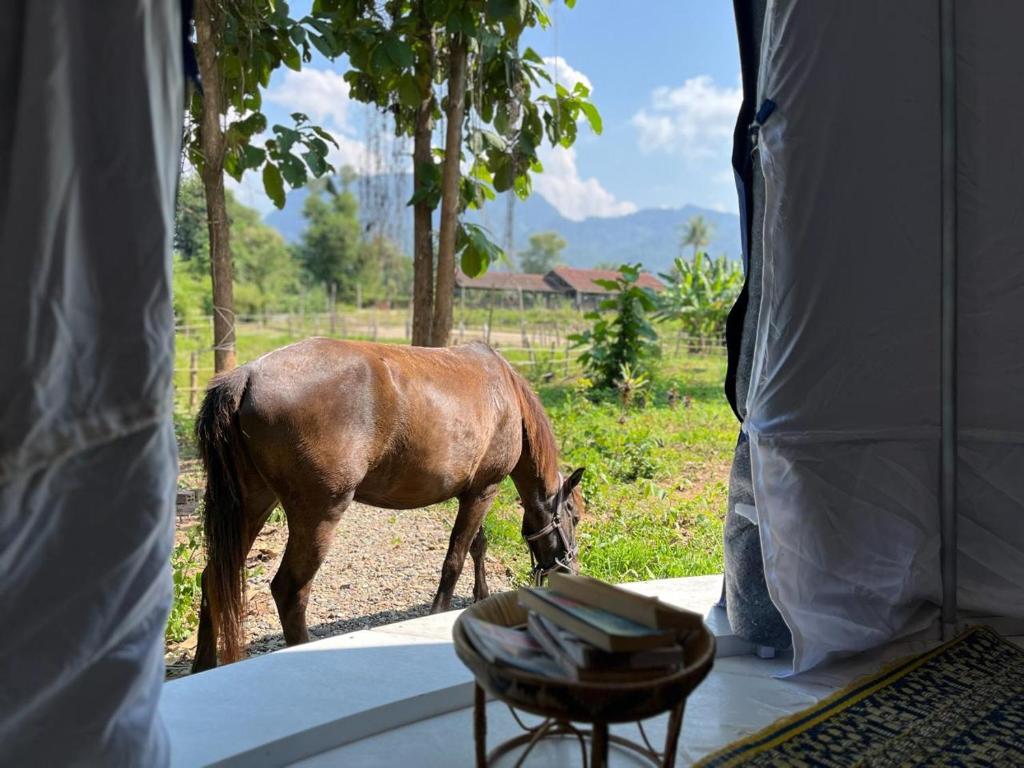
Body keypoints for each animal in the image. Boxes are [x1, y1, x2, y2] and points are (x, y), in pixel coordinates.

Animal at [191, 338, 585, 672]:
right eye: (576, 518)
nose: (569, 569)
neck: (507, 396)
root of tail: (247, 375)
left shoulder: (472, 492)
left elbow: (477, 546)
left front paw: (480, 597)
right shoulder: (483, 492)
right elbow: (455, 560)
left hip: (252, 505)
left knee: (213, 579)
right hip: (318, 516)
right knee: (289, 590)